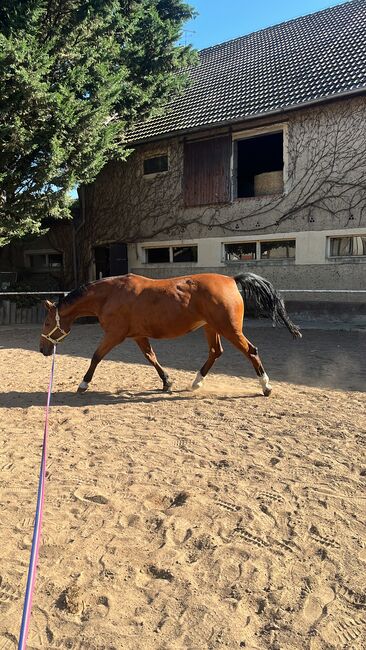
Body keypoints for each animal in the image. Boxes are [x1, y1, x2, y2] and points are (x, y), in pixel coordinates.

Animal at [40, 270, 302, 394]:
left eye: (46, 323)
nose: (42, 349)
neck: (110, 295)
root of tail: (230, 279)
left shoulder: (115, 335)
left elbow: (96, 357)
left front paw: (83, 384)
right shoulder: (138, 336)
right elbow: (151, 357)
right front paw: (166, 382)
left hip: (229, 329)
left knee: (251, 351)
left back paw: (266, 387)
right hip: (212, 328)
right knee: (215, 352)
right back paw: (196, 383)